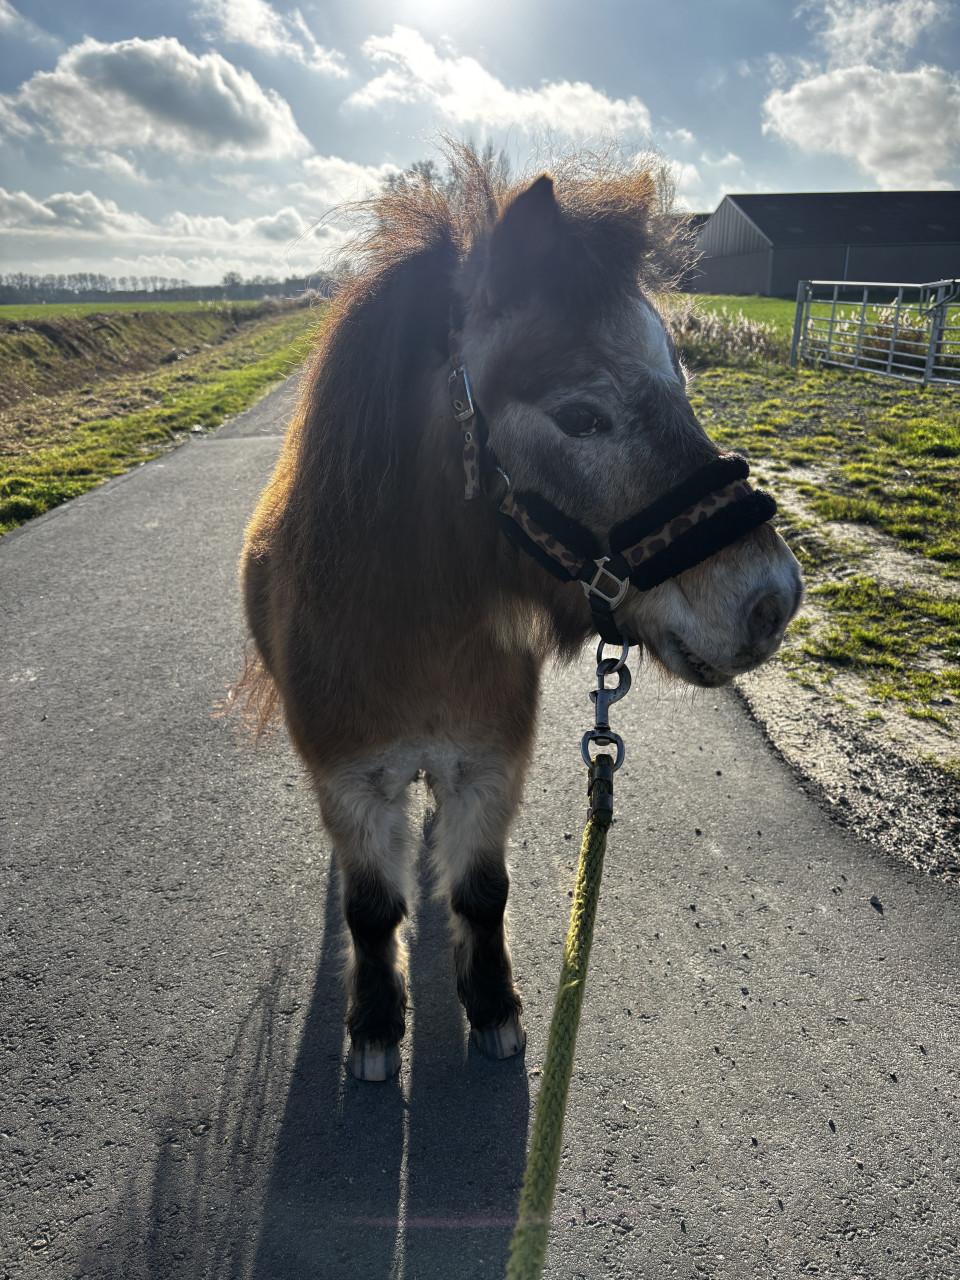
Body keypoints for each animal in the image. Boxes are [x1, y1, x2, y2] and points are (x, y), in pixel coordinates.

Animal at [239, 149, 803, 1082]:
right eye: (580, 416)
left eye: (681, 384)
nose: (772, 602)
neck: (416, 630)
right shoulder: (353, 781)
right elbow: (370, 908)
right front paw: (375, 1021)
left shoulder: (487, 767)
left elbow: (480, 890)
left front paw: (494, 1003)